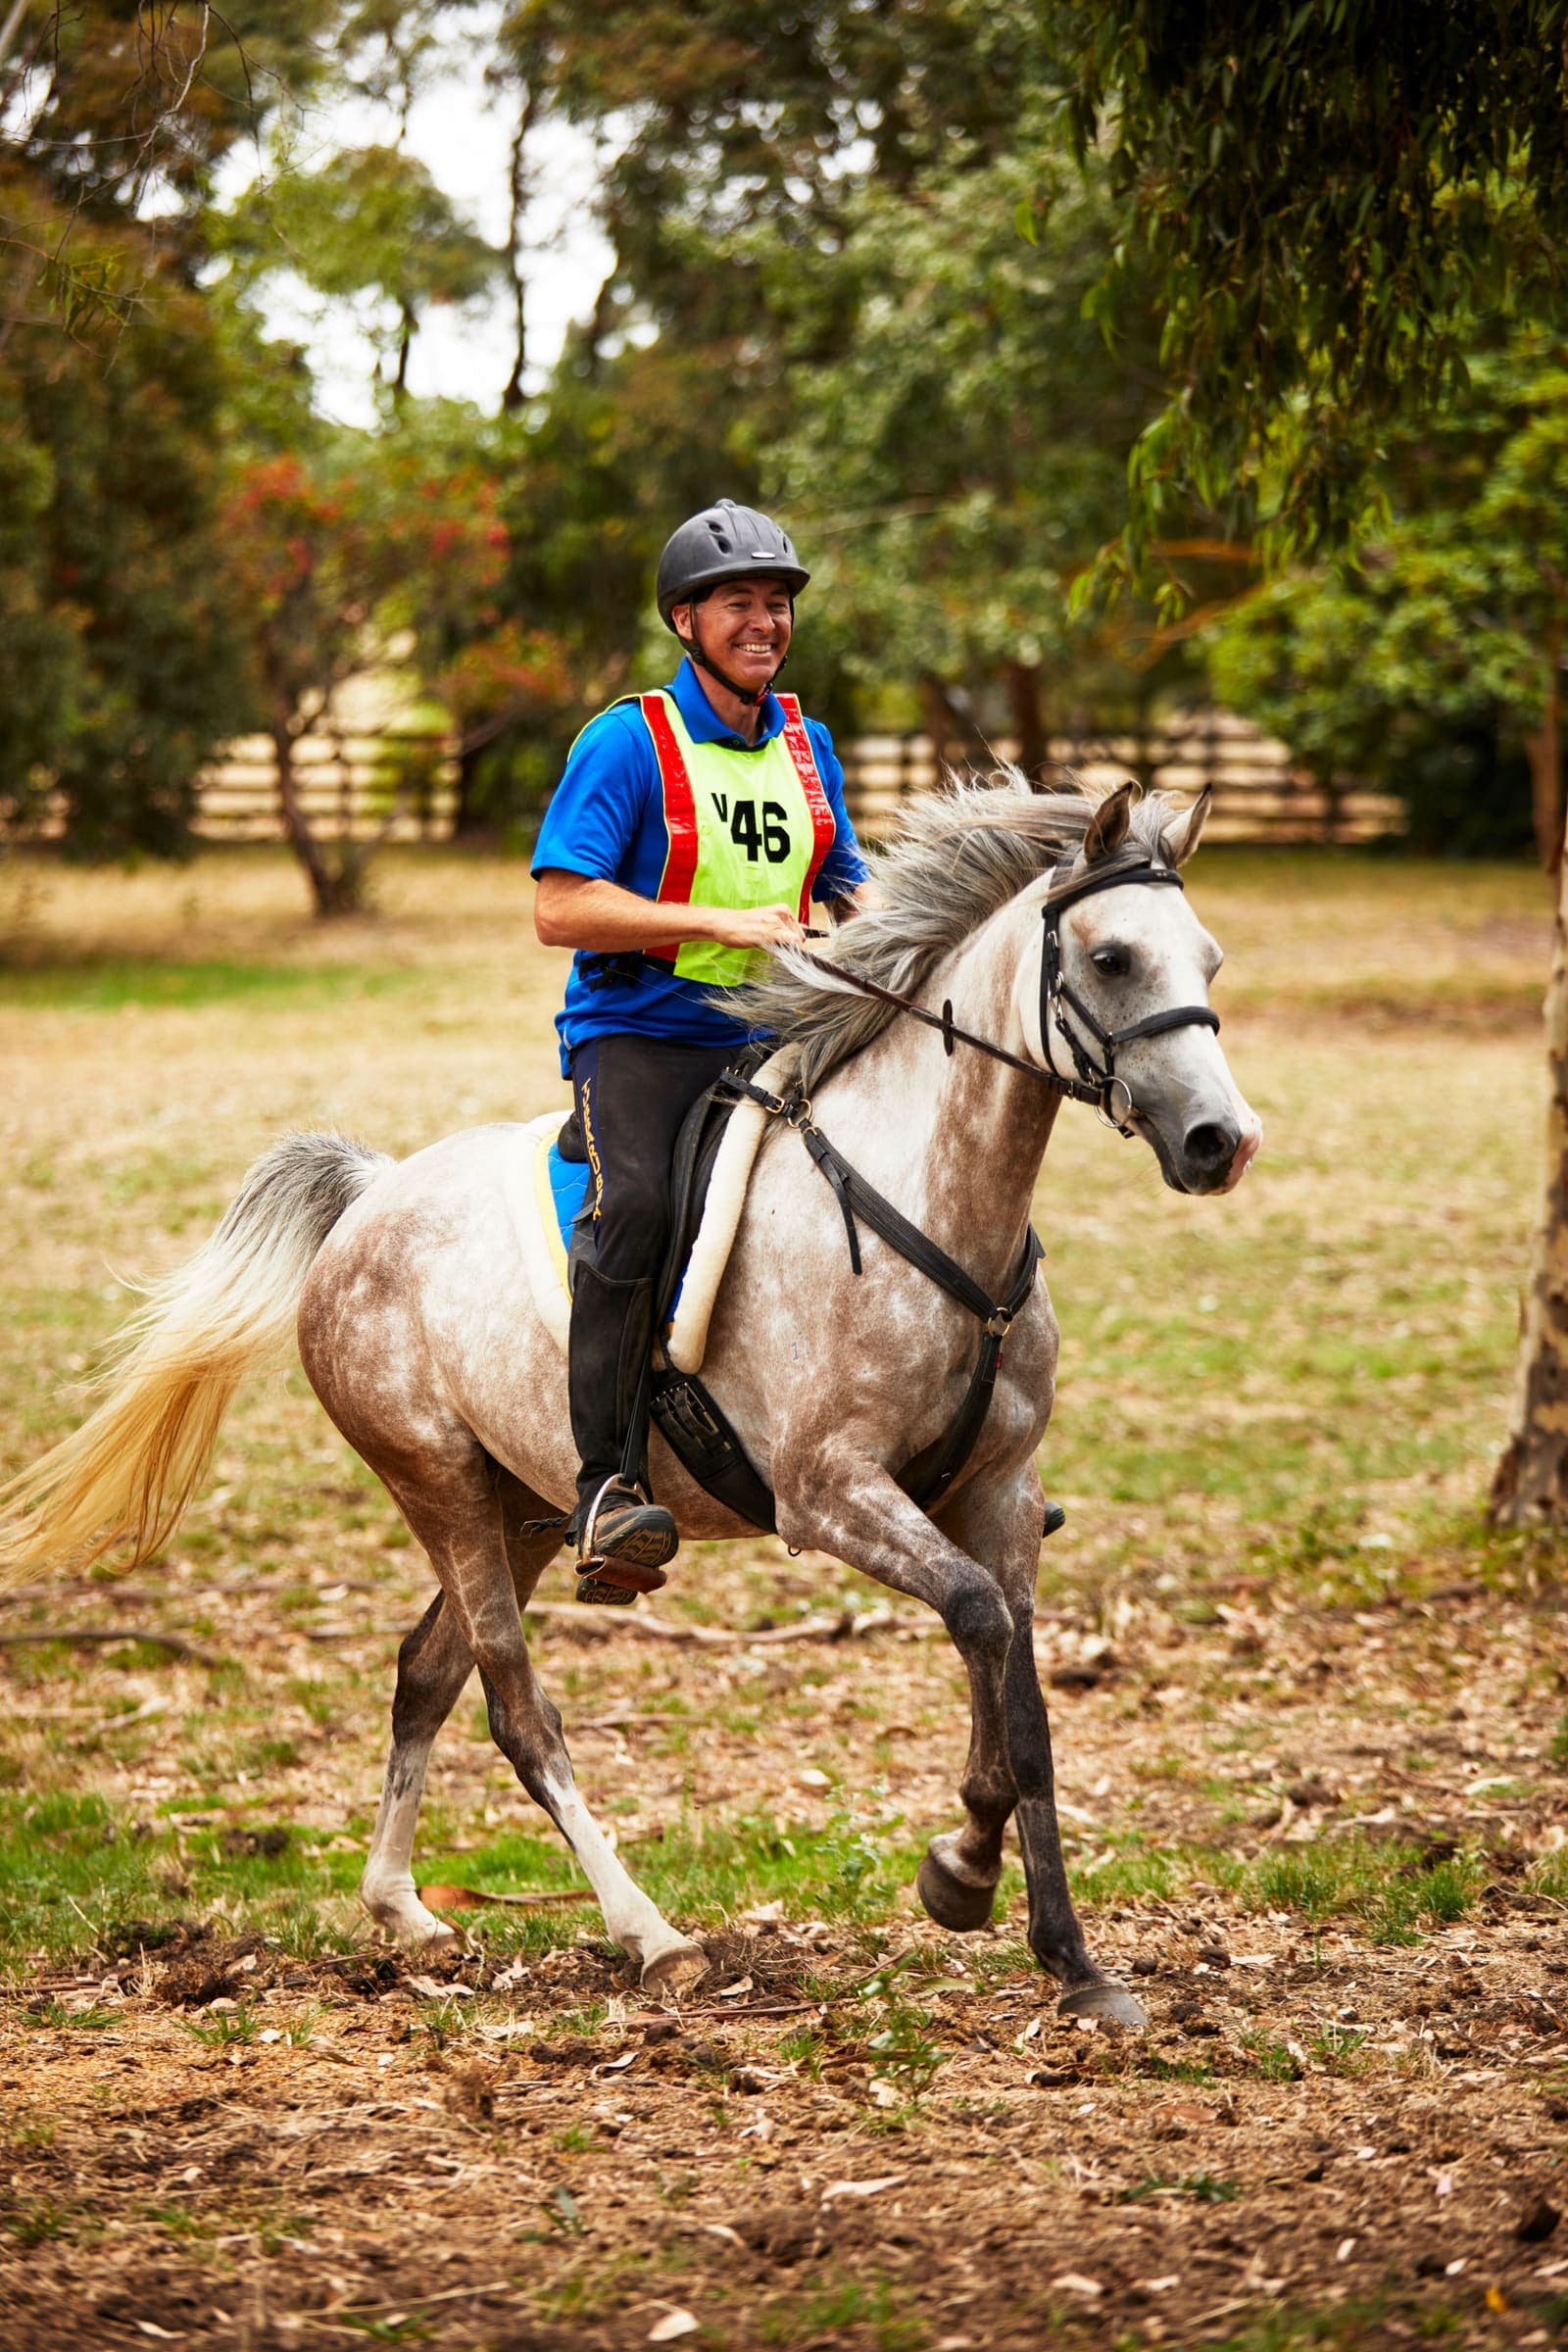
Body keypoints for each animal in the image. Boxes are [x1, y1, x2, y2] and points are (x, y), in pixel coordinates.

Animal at [0, 776, 1260, 2025]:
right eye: (1109, 958)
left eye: (1209, 957)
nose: (1221, 1141)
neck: (926, 1200)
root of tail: (370, 1194)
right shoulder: (829, 1494)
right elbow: (982, 1624)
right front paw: (974, 1881)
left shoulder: (997, 1496)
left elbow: (1021, 1696)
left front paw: (1054, 1947)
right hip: (440, 1486)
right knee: (516, 1710)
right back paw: (650, 1936)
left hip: (520, 1508)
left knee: (425, 1673)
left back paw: (405, 1913)